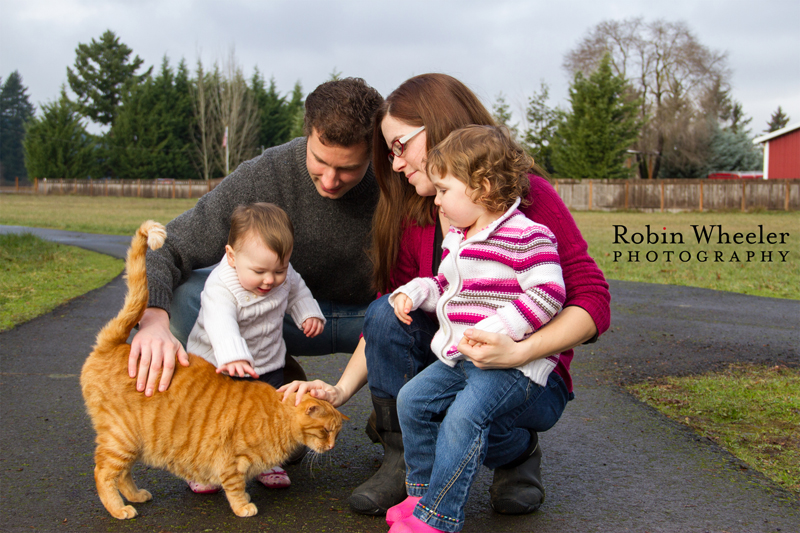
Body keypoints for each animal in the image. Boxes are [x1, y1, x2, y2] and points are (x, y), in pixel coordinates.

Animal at [81, 218, 350, 516]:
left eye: (337, 433)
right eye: (326, 431)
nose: (331, 446)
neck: (277, 417)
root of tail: (114, 344)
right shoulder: (231, 460)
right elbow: (235, 487)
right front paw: (244, 507)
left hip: (130, 443)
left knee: (123, 474)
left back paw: (136, 496)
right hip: (121, 438)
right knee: (103, 472)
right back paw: (119, 510)